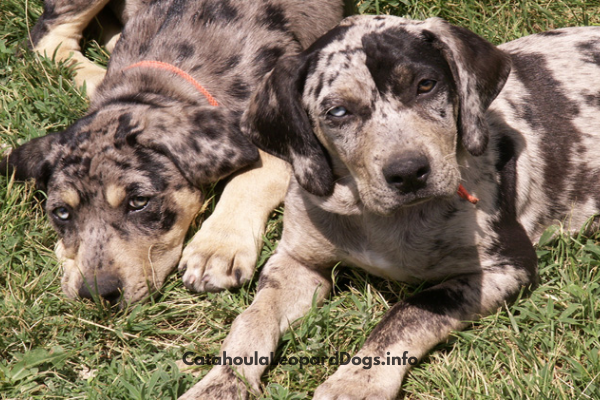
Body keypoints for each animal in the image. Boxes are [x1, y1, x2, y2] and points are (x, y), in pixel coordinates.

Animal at [0, 0, 352, 304]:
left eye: (138, 202)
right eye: (61, 213)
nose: (98, 294)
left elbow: (254, 178)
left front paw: (217, 249)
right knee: (47, 37)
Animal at [182, 15, 600, 400]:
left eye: (426, 85)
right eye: (338, 112)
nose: (409, 172)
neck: (382, 220)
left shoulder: (508, 267)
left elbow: (409, 312)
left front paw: (356, 382)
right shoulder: (296, 262)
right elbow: (252, 319)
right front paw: (220, 384)